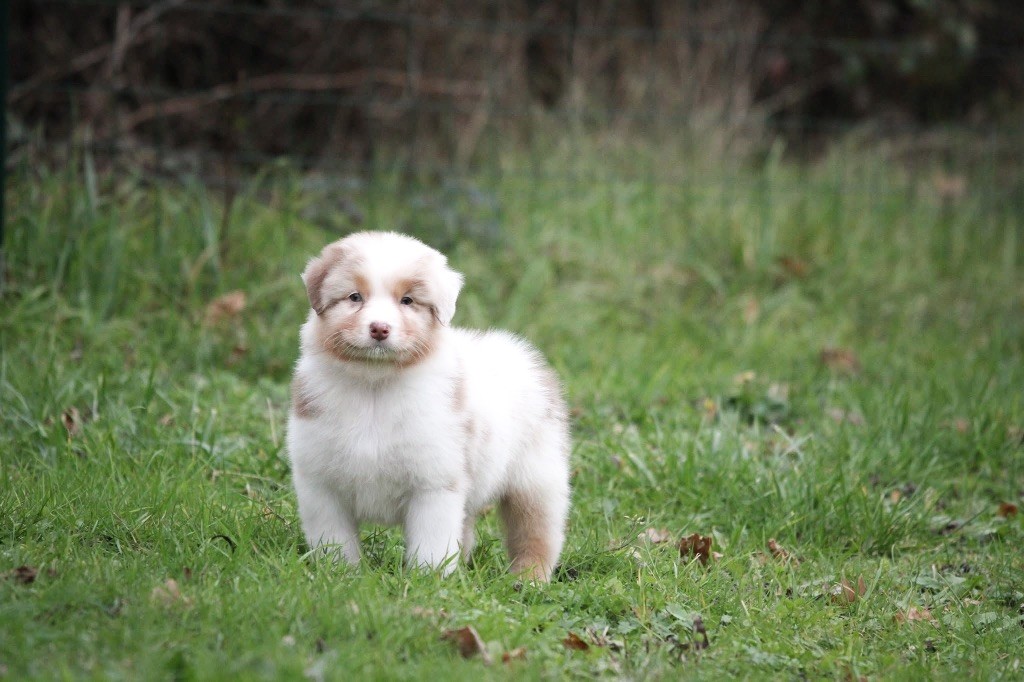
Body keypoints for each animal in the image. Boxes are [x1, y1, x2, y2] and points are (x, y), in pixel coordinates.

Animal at [288, 231, 573, 577]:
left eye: (407, 300)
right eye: (355, 297)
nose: (379, 328)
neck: (375, 386)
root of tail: (524, 356)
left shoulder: (434, 484)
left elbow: (432, 543)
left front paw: (427, 579)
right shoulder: (320, 483)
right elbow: (335, 541)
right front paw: (340, 575)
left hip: (537, 480)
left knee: (537, 534)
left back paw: (528, 579)